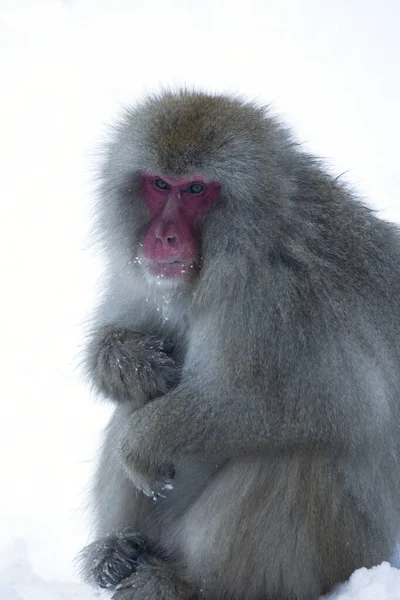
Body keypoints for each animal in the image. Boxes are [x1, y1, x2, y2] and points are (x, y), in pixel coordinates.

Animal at [77, 90, 400, 600]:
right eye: (159, 184)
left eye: (195, 189)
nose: (162, 238)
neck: (248, 246)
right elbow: (126, 339)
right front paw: (129, 362)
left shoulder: (276, 298)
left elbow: (285, 405)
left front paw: (142, 444)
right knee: (138, 401)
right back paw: (117, 553)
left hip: (343, 556)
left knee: (301, 453)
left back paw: (189, 583)